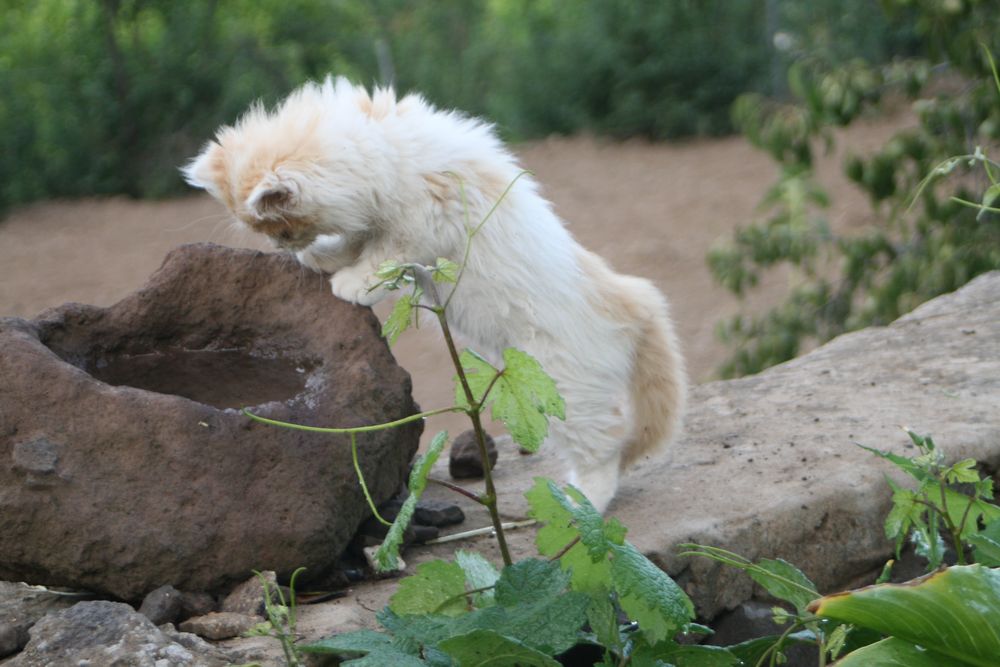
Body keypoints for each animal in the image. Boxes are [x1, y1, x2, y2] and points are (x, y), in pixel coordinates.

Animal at [184, 79, 684, 516]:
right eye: (268, 232)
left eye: (283, 227)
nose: (281, 247)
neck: (381, 150)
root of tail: (632, 301)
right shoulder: (378, 219)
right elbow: (357, 242)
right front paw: (325, 259)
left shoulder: (421, 222)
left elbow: (381, 255)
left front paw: (347, 280)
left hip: (563, 391)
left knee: (605, 449)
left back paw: (582, 504)